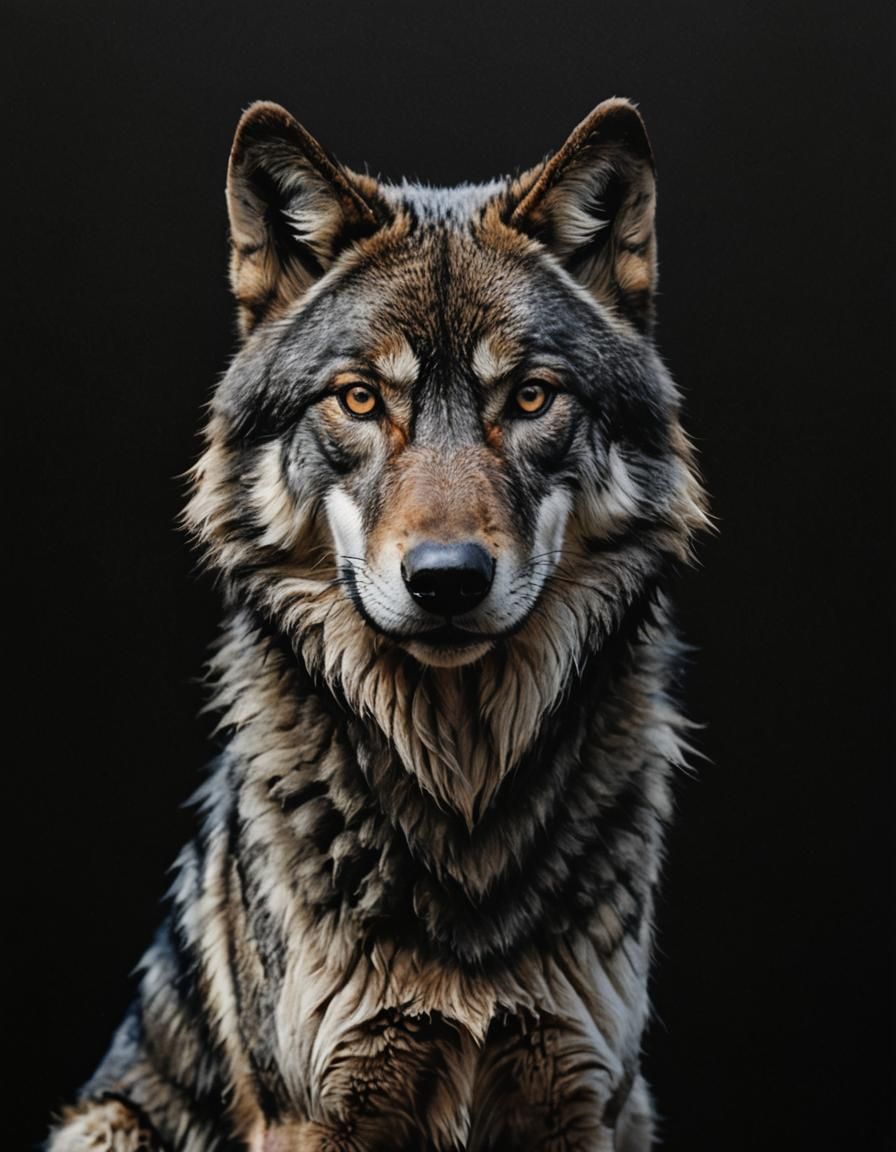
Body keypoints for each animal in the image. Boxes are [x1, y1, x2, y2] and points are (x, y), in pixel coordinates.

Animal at [48, 97, 708, 1151]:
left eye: (529, 396)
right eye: (360, 398)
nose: (446, 581)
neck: (461, 798)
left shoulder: (582, 1097)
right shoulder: (318, 1108)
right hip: (102, 1124)